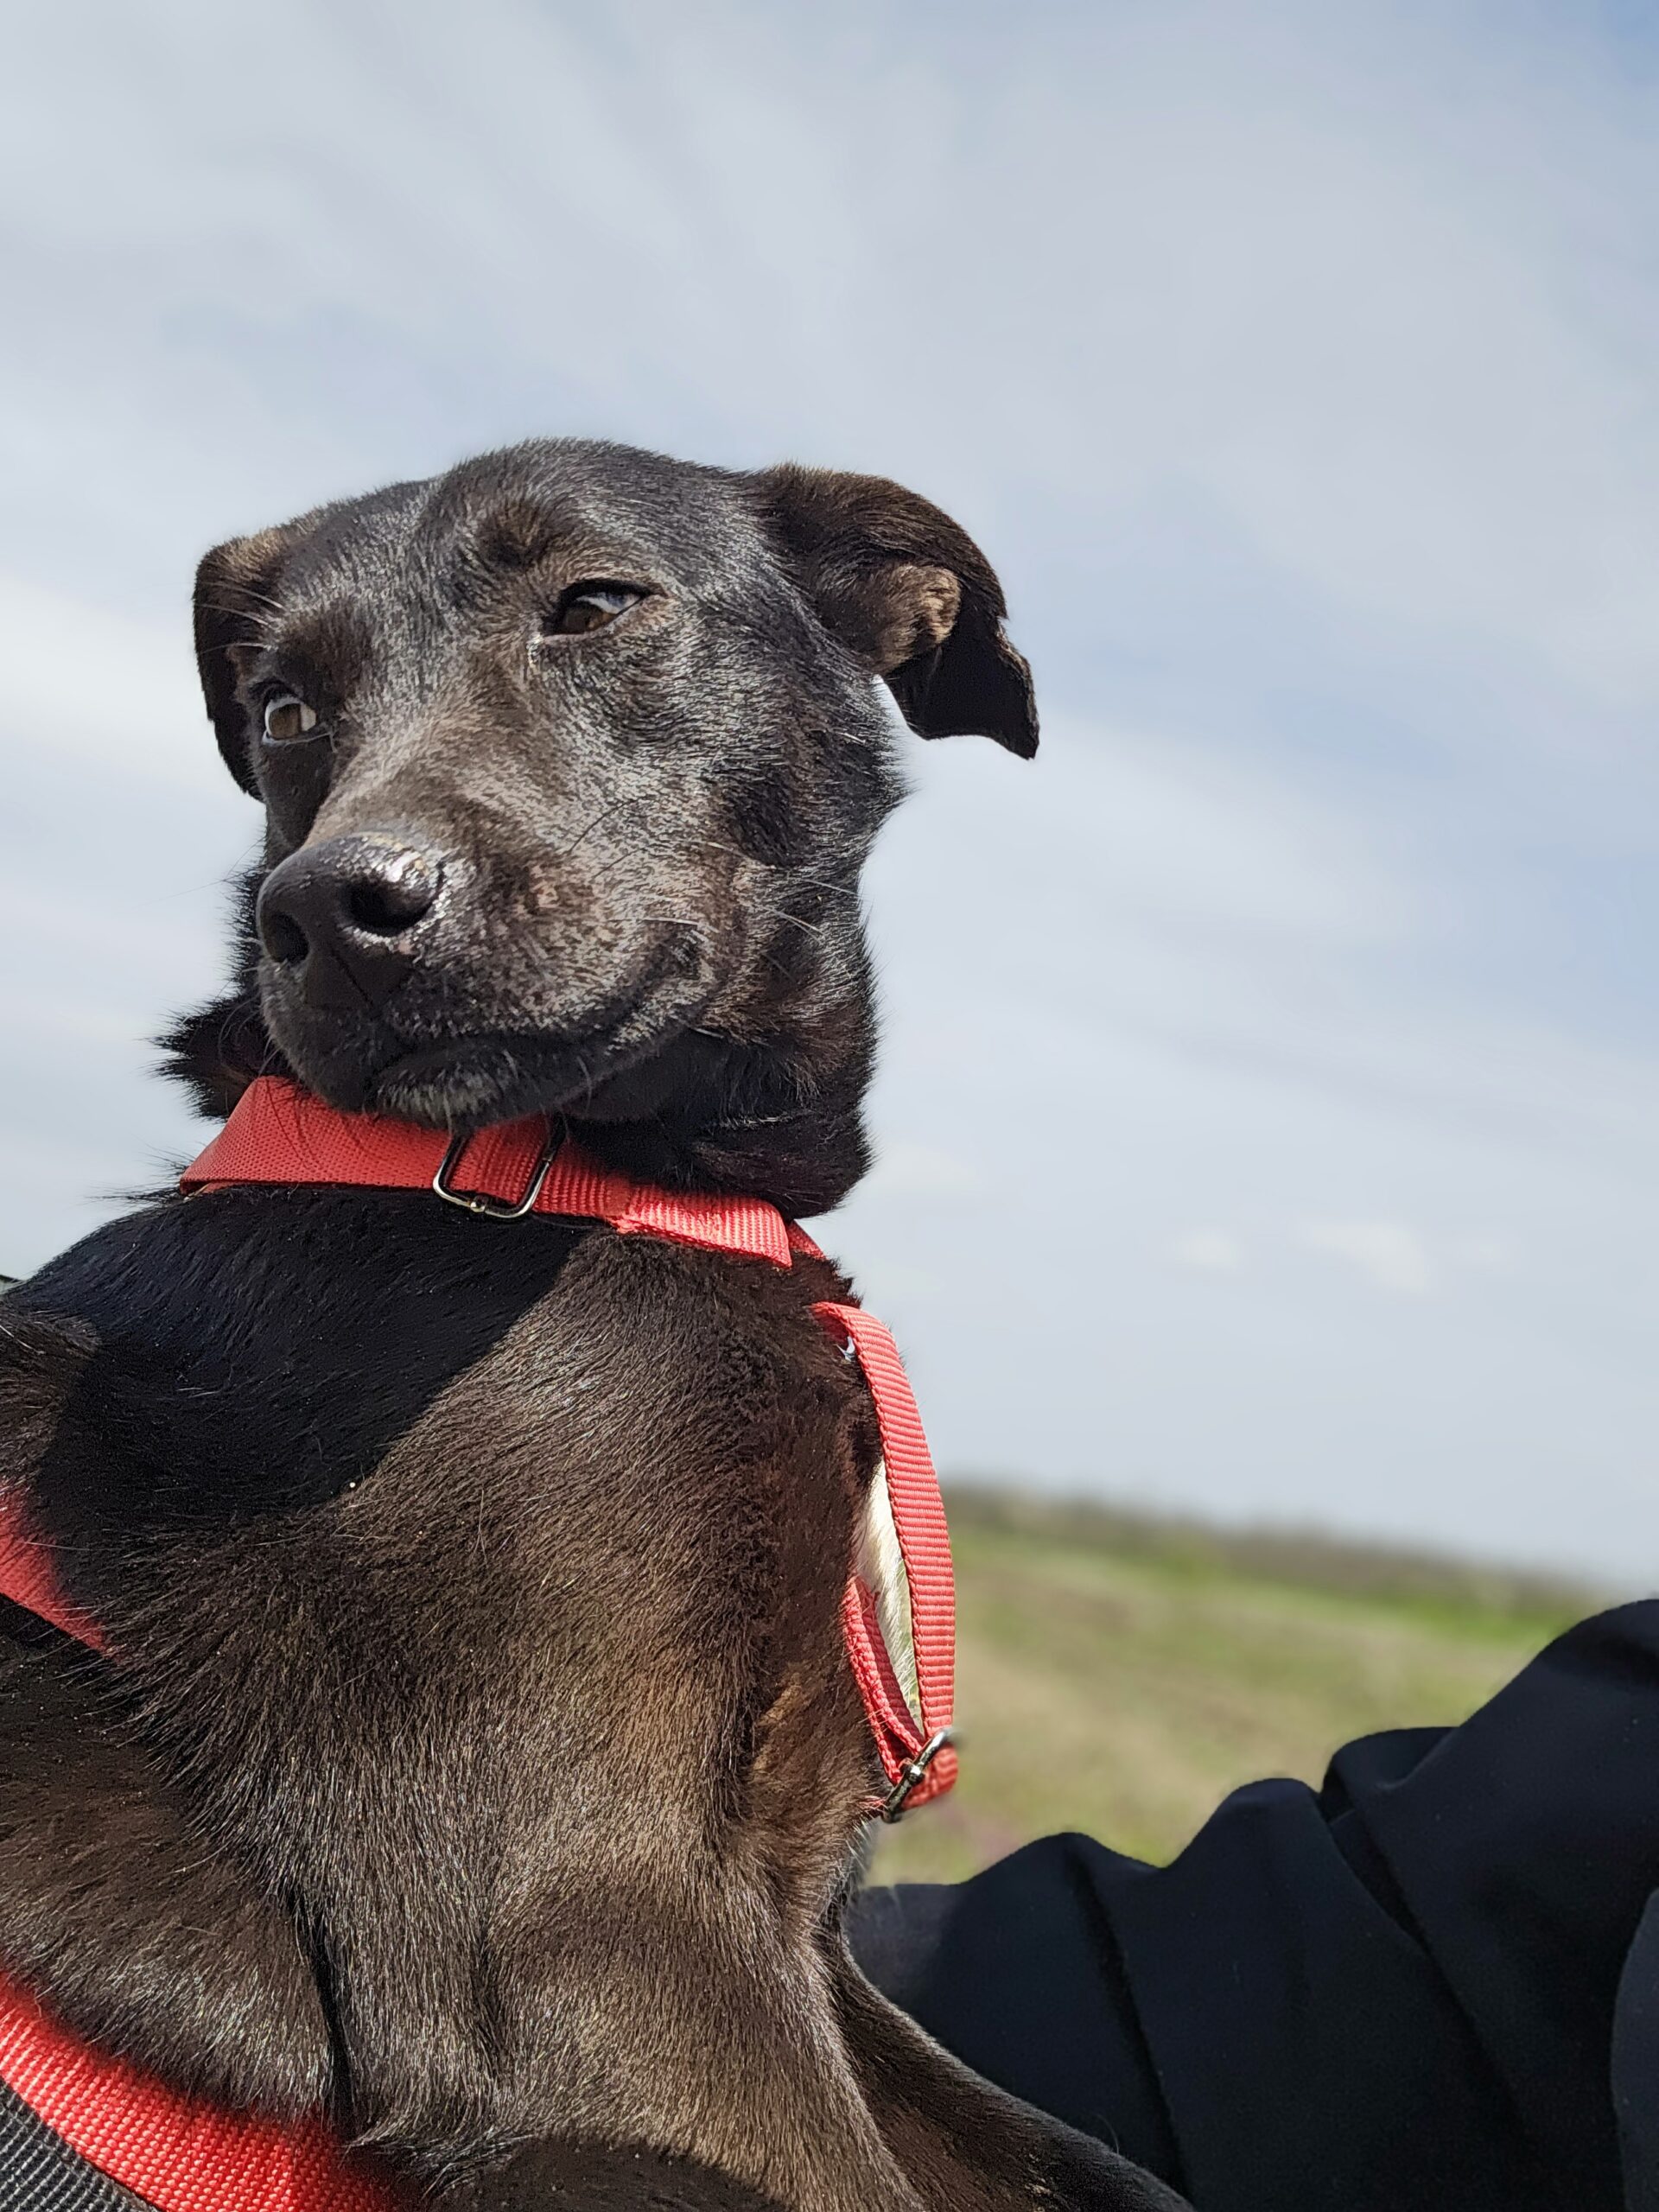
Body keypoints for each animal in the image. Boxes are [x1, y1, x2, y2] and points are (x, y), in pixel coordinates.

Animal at [0, 441, 1190, 2210]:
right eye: (283, 707)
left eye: (596, 604)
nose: (333, 911)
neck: (571, 1187)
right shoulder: (610, 1939)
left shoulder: (798, 1918)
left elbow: (1078, 2159)